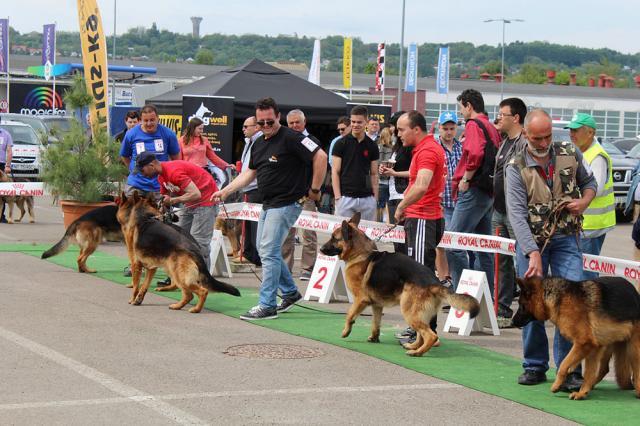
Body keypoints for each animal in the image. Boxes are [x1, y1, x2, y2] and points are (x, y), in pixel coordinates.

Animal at [320, 213, 480, 356]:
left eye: (334, 238)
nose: (321, 249)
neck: (361, 253)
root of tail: (434, 282)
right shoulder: (377, 305)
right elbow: (375, 323)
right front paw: (374, 337)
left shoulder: (360, 300)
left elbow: (349, 315)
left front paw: (345, 331)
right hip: (418, 314)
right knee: (422, 333)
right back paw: (413, 346)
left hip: (409, 311)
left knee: (431, 335)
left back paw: (417, 352)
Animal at [512, 276, 640, 400]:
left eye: (522, 305)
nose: (512, 322)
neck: (560, 299)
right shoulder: (591, 346)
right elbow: (586, 372)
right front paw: (581, 393)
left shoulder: (583, 343)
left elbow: (564, 364)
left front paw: (557, 384)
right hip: (604, 347)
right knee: (603, 369)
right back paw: (586, 388)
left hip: (633, 350)